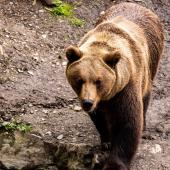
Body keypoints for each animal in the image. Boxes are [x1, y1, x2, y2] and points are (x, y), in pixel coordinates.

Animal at [65, 2, 163, 170]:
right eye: (79, 79)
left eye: (98, 81)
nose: (87, 102)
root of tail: (138, 5)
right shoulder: (98, 100)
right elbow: (99, 118)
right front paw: (106, 141)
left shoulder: (126, 87)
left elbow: (127, 122)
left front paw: (115, 164)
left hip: (152, 58)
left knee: (145, 95)